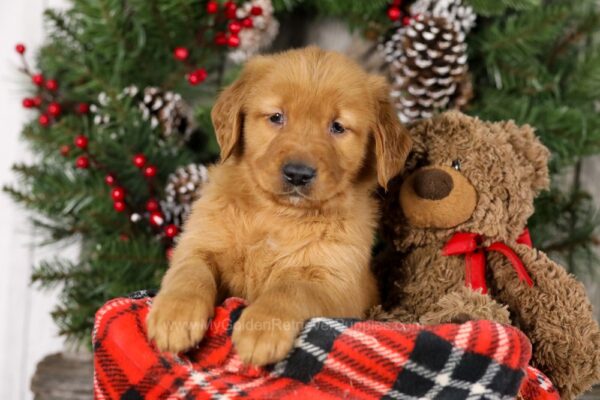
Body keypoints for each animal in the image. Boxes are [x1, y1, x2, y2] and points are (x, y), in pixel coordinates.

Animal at [147, 46, 410, 366]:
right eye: (276, 117)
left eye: (337, 127)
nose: (298, 174)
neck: (278, 215)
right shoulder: (199, 243)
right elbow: (189, 272)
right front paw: (174, 315)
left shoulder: (336, 281)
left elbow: (289, 289)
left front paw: (261, 330)